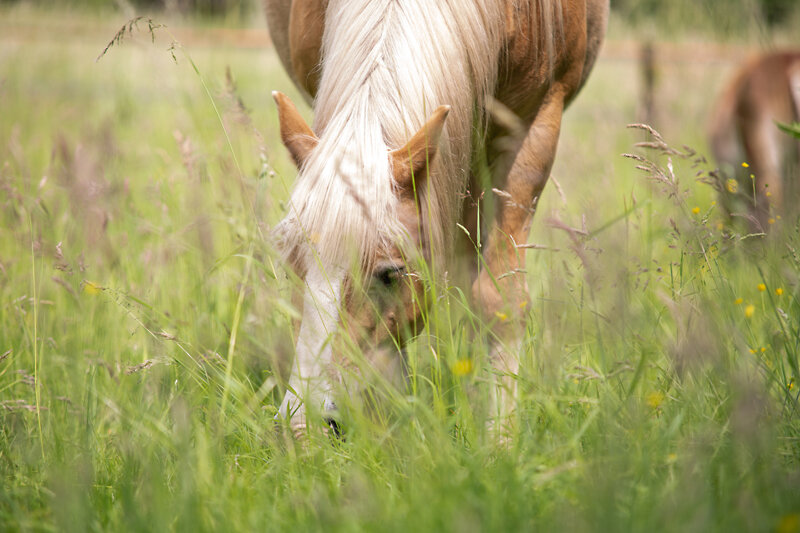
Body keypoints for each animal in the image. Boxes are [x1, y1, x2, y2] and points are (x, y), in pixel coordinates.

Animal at [262, 0, 608, 432]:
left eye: (390, 273)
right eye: (292, 265)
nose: (302, 425)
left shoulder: (534, 124)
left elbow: (500, 298)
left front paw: (500, 435)